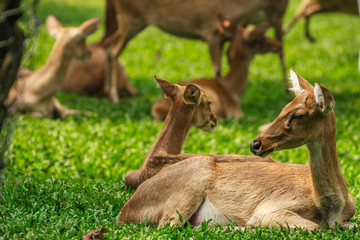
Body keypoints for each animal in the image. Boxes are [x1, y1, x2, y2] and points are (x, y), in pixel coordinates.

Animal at [104, 0, 290, 99]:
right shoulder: (211, 32)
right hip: (132, 19)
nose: (277, 45)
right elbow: (217, 70)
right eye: (257, 39)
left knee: (108, 44)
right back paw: (114, 96)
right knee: (113, 49)